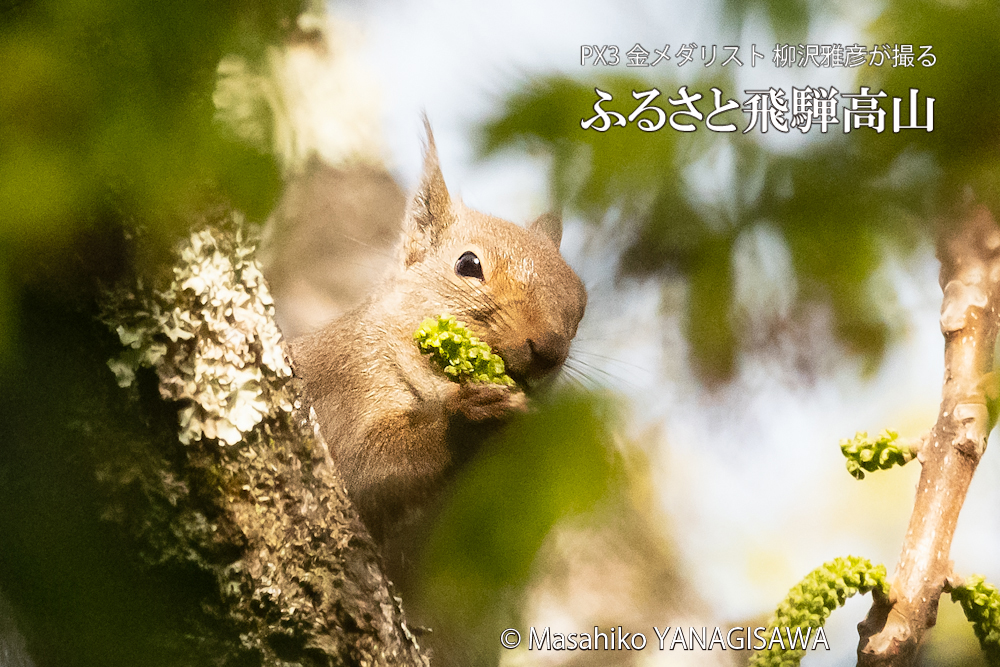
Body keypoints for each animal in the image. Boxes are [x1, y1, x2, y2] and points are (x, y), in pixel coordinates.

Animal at [288, 125, 584, 544]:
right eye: (468, 264)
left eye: (581, 306)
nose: (550, 349)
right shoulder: (342, 391)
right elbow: (363, 465)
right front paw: (471, 419)